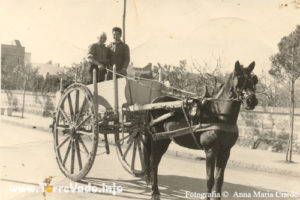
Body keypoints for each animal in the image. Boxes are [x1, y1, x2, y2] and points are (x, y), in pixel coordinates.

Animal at [143, 61, 258, 200]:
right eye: (239, 79)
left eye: (254, 80)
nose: (251, 101)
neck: (219, 115)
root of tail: (154, 102)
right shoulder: (210, 151)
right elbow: (210, 179)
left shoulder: (225, 152)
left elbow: (219, 179)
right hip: (158, 140)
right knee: (153, 162)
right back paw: (155, 191)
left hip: (164, 140)